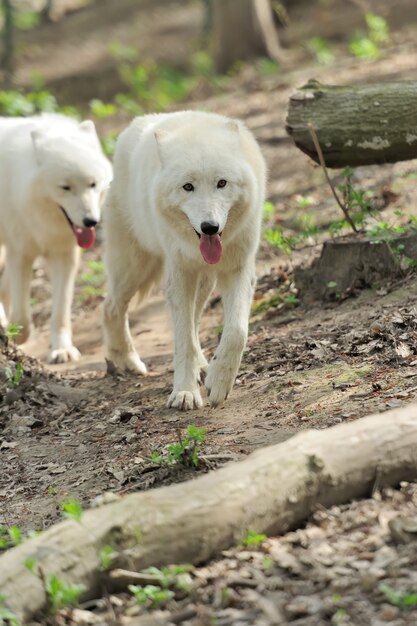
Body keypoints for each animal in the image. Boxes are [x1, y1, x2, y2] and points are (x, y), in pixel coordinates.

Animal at [0, 114, 112, 364]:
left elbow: (60, 312)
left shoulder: (64, 255)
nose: (91, 221)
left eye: (92, 184)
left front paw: (62, 349)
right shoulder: (20, 253)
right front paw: (15, 335)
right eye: (65, 187)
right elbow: (22, 317)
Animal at [104, 109, 266, 408]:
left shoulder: (238, 269)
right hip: (135, 267)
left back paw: (203, 365)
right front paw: (185, 392)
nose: (209, 227)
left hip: (203, 281)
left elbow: (236, 332)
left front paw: (218, 381)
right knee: (110, 307)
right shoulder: (179, 275)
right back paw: (127, 361)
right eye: (187, 187)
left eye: (221, 183)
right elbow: (182, 341)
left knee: (195, 319)